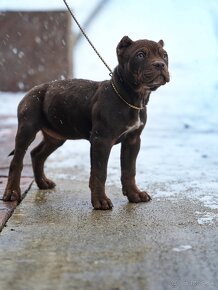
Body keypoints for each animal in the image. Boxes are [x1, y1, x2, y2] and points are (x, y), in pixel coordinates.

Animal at [3, 36, 170, 208]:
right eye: (140, 55)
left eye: (164, 55)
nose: (160, 64)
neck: (132, 97)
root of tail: (30, 90)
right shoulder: (101, 141)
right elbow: (99, 172)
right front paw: (100, 200)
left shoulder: (133, 140)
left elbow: (129, 170)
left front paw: (134, 194)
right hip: (27, 129)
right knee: (17, 161)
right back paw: (12, 192)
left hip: (56, 136)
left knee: (37, 154)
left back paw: (43, 183)